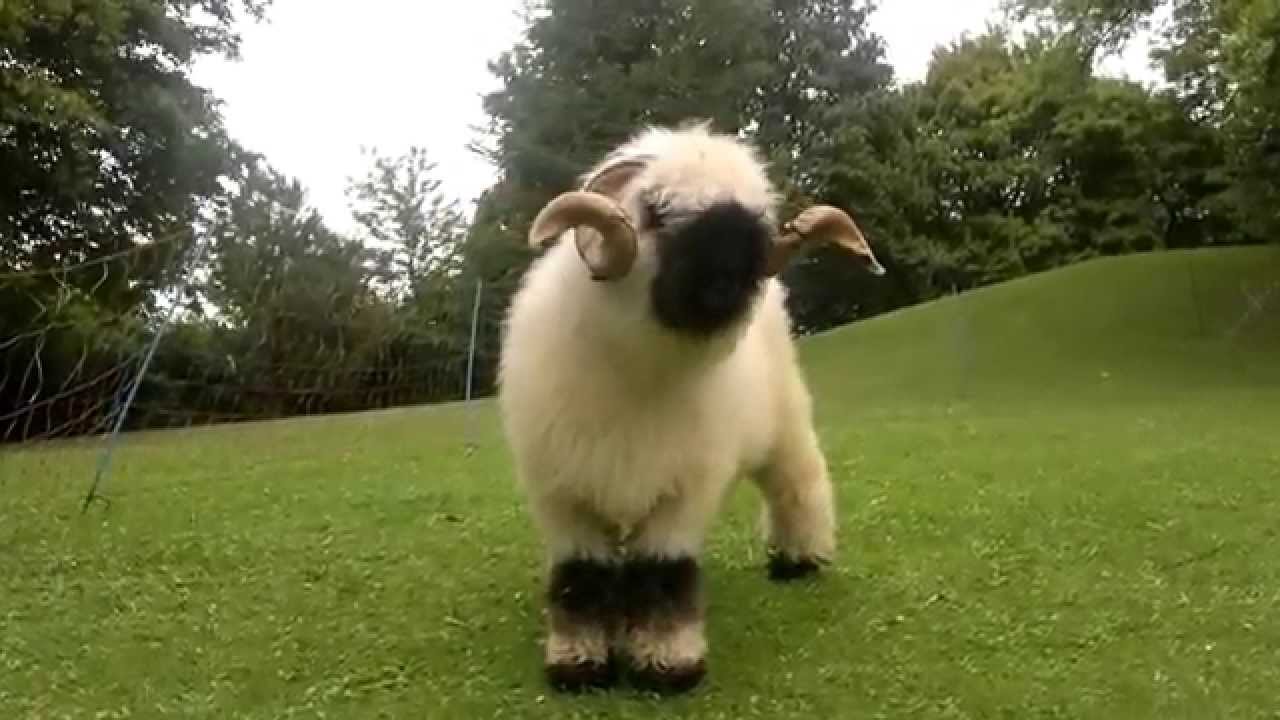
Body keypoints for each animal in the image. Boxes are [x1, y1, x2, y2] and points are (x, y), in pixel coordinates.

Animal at [497, 120, 885, 694]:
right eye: (655, 210)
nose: (728, 283)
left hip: (786, 421)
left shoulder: (683, 492)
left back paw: (800, 560)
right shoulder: (563, 495)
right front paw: (578, 664)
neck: (638, 376)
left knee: (799, 481)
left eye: (754, 223)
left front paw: (668, 665)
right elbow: (579, 578)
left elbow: (665, 574)